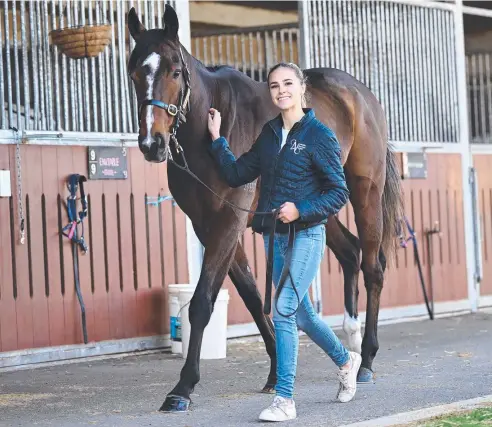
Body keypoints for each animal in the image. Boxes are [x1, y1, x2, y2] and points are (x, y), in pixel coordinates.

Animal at [127, 3, 404, 412]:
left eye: (175, 71)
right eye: (134, 73)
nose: (152, 144)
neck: (209, 129)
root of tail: (362, 94)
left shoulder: (228, 221)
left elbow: (202, 303)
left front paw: (182, 389)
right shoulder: (210, 225)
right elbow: (254, 297)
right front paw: (276, 373)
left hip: (363, 190)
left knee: (373, 266)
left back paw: (366, 359)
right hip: (316, 204)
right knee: (350, 253)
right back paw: (350, 344)